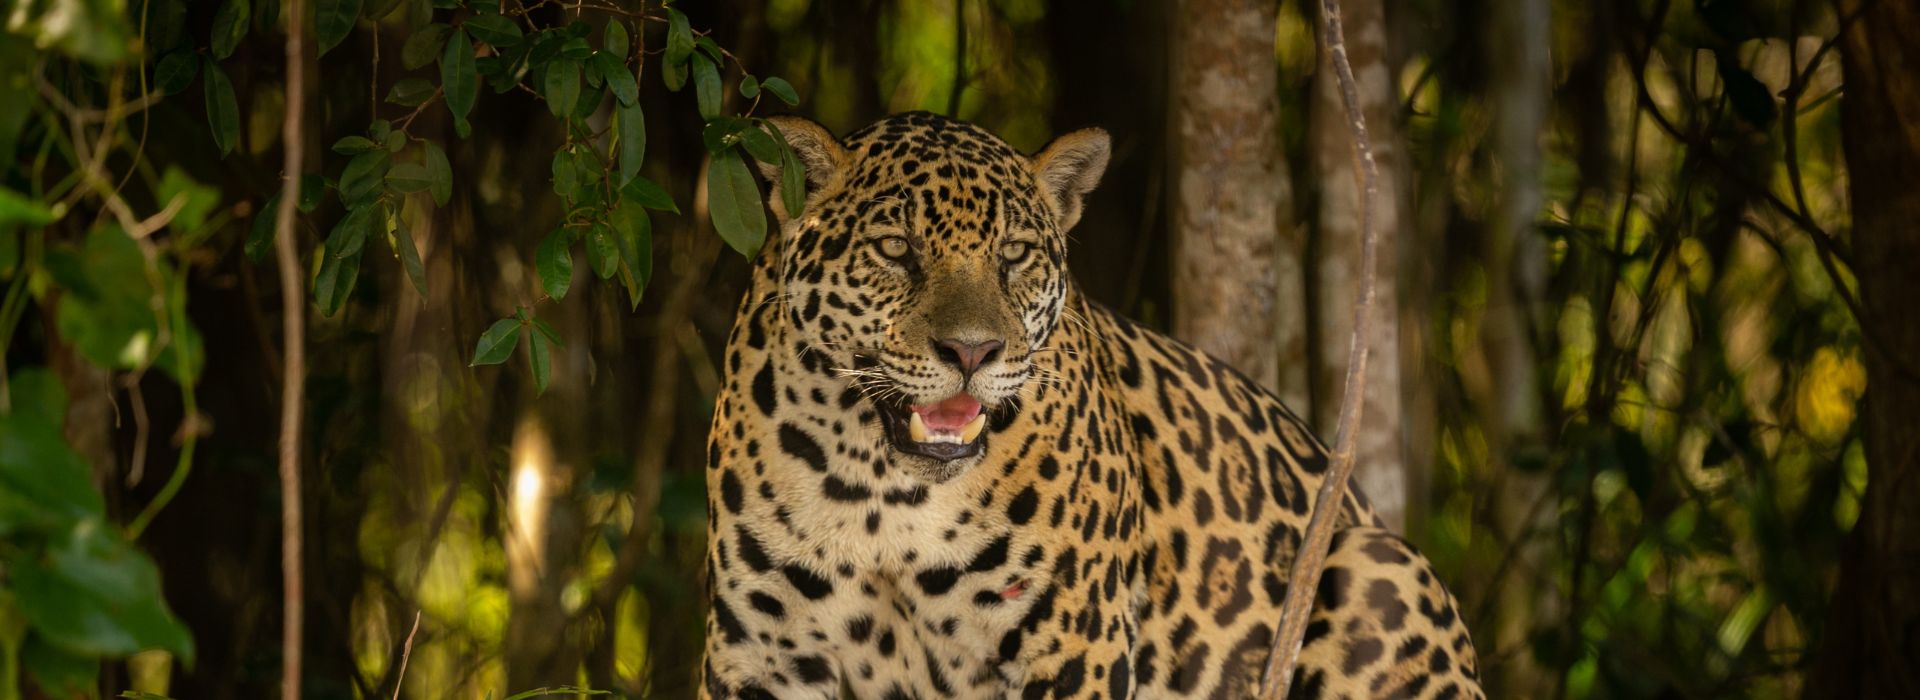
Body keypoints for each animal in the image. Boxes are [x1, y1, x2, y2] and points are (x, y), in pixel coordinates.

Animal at [700, 111, 1483, 699]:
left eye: (1014, 254)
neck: (883, 496)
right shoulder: (761, 657)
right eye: (895, 248)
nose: (972, 352)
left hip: (1377, 562)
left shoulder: (1074, 642)